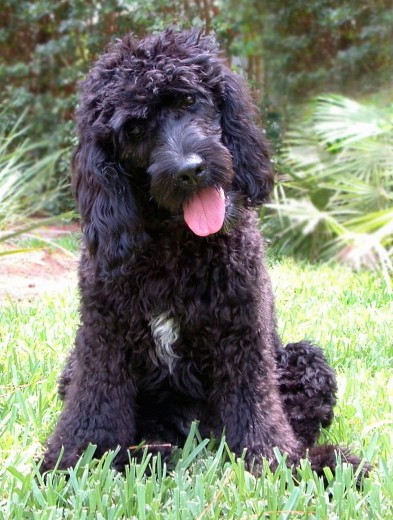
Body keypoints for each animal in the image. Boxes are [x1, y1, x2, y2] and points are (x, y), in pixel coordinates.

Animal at [43, 27, 368, 476]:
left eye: (188, 100)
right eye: (135, 129)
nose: (190, 170)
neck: (175, 247)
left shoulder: (243, 337)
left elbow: (258, 412)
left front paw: (284, 462)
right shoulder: (103, 340)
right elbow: (93, 408)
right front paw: (71, 462)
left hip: (302, 359)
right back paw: (151, 452)